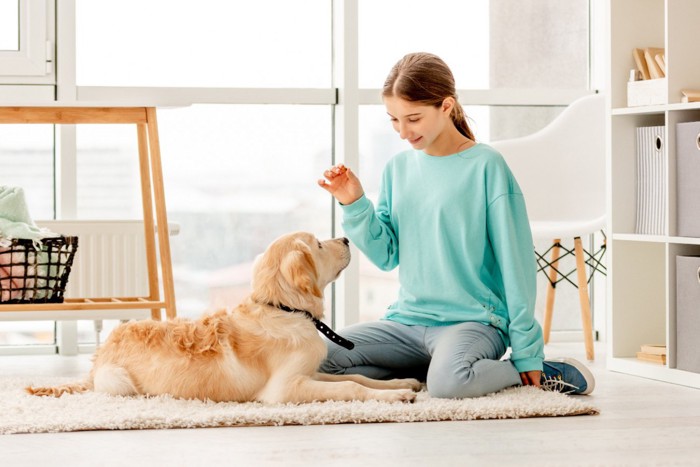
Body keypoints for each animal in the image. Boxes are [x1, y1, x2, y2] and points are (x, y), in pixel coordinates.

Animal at [27, 232, 422, 404]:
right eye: (321, 245)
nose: (346, 238)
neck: (282, 308)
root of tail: (98, 358)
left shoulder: (309, 372)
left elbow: (356, 377)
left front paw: (401, 383)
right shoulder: (283, 389)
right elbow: (350, 387)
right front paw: (398, 396)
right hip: (117, 380)